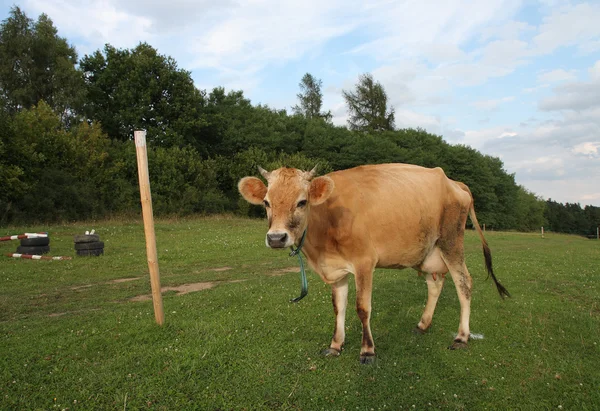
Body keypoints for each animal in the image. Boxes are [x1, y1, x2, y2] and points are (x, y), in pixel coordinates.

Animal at [237, 164, 508, 364]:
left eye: (302, 202)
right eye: (267, 203)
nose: (276, 238)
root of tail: (454, 182)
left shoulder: (364, 262)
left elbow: (362, 308)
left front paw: (367, 351)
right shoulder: (336, 269)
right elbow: (339, 307)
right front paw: (335, 345)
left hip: (452, 242)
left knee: (464, 284)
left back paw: (461, 337)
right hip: (428, 251)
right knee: (435, 284)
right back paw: (422, 324)